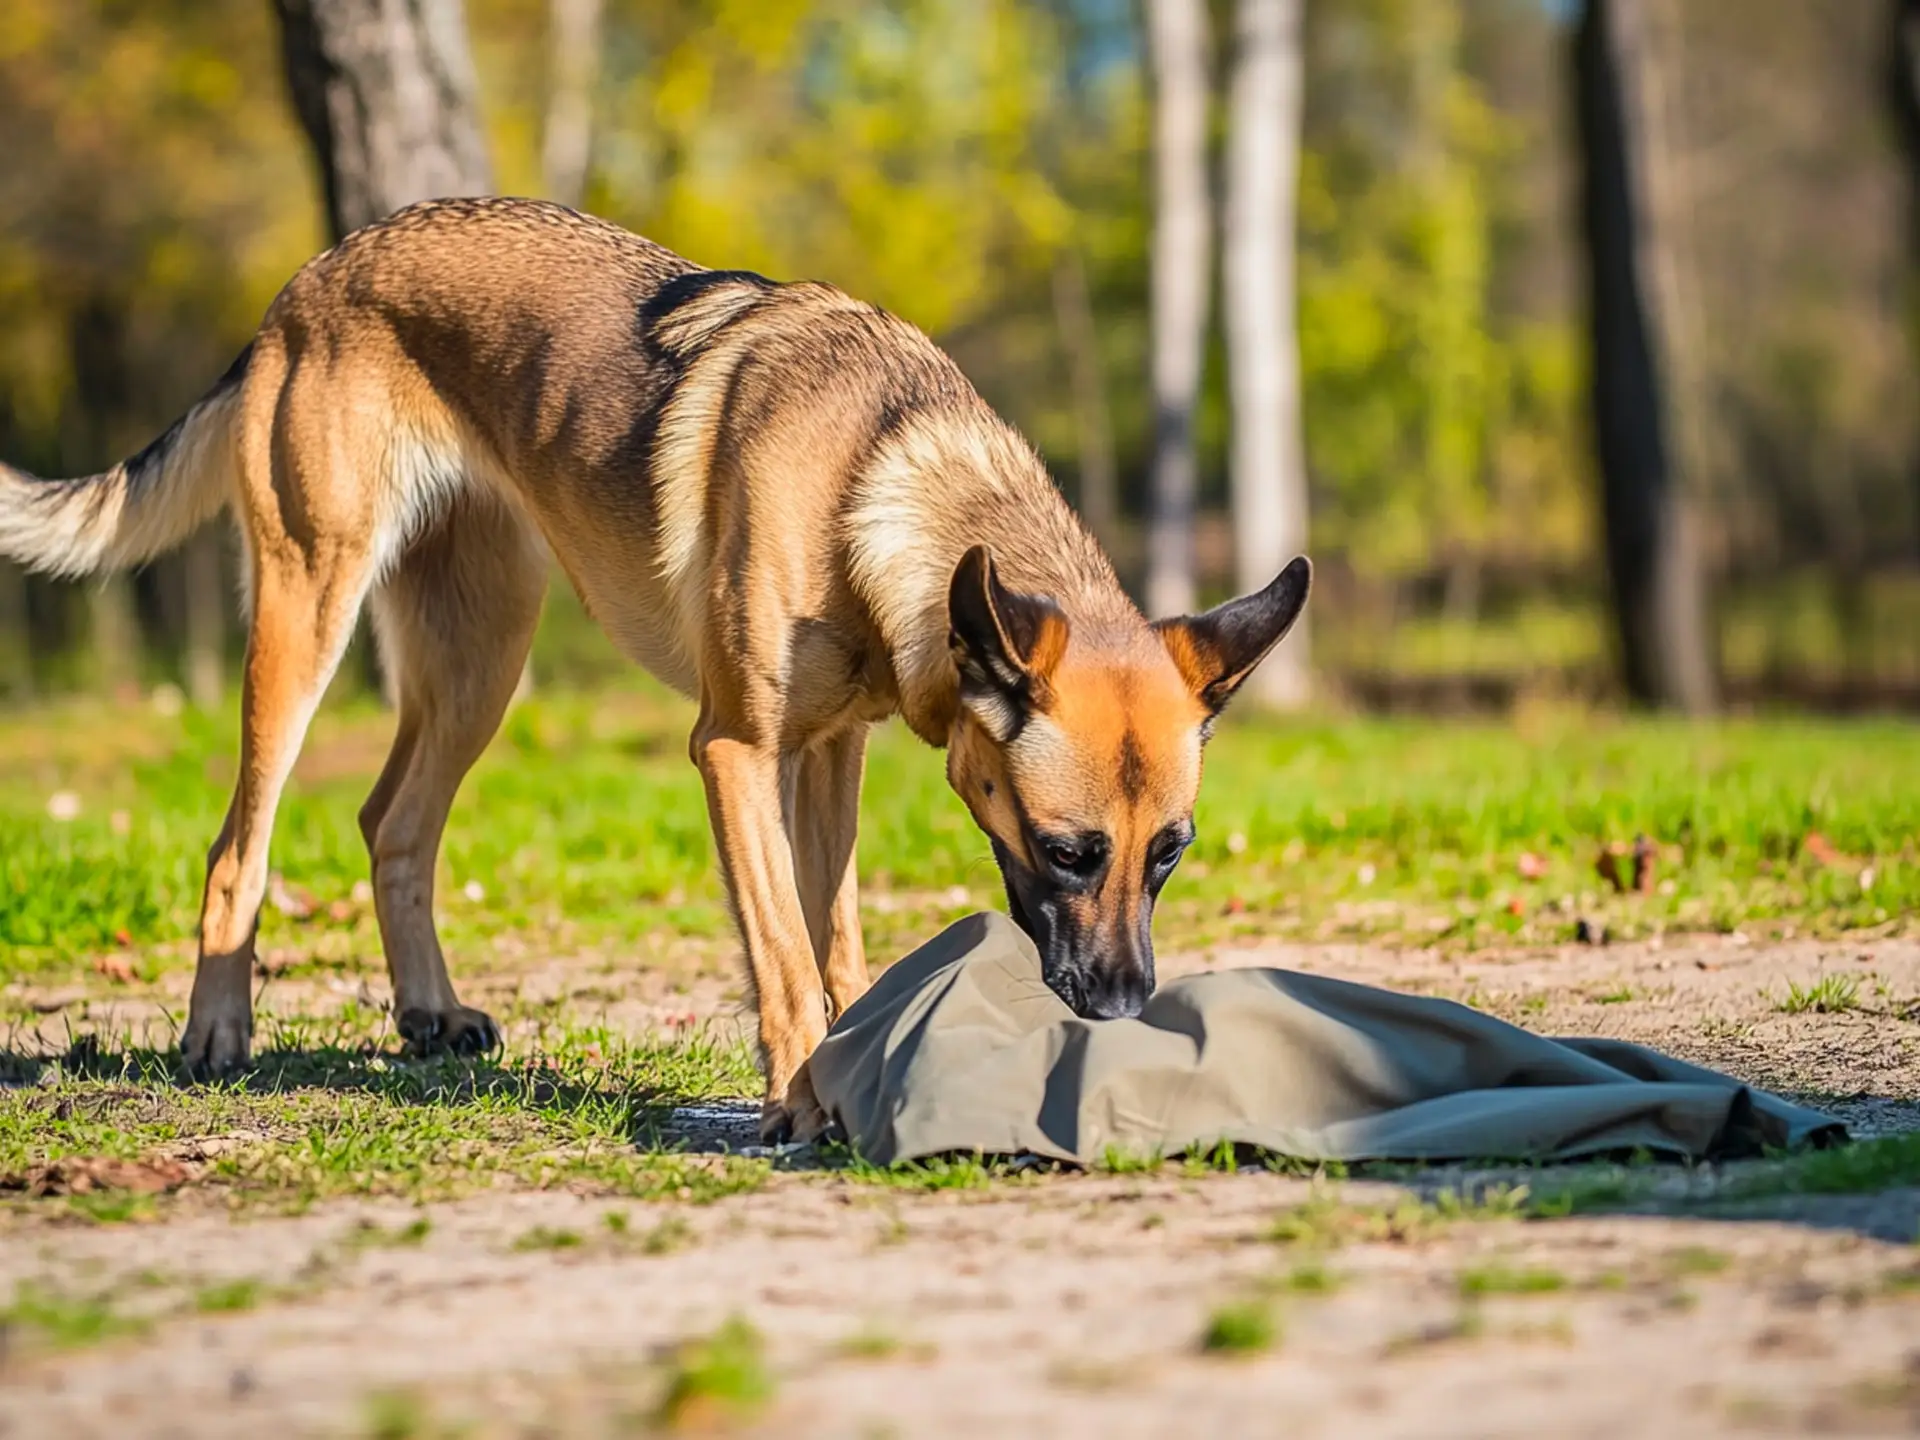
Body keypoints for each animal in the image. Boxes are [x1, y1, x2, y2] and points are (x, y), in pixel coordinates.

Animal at [0, 200, 1305, 1136]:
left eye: (1171, 853)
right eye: (1067, 850)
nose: (1127, 1006)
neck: (876, 473)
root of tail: (306, 282)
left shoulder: (829, 756)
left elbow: (834, 942)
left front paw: (857, 1068)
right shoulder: (735, 751)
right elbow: (784, 954)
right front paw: (801, 1100)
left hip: (481, 662)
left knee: (393, 822)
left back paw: (427, 1014)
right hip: (306, 619)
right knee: (241, 843)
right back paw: (217, 1033)